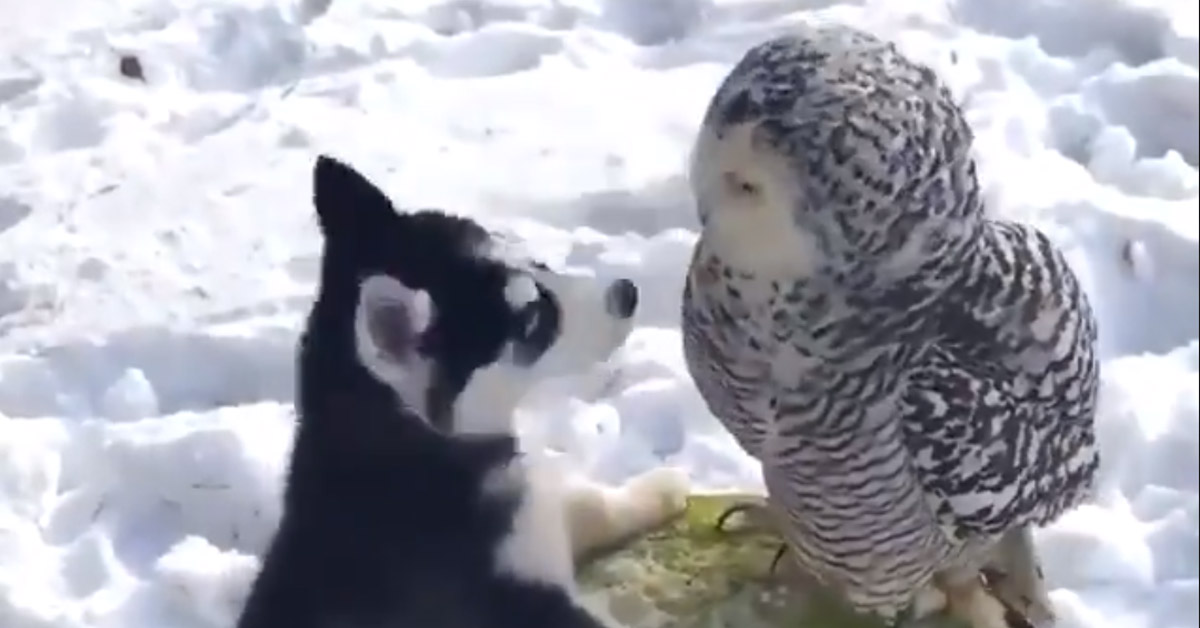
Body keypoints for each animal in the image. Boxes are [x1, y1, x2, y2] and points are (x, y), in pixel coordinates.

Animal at [234, 156, 691, 628]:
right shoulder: (514, 601)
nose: (626, 293)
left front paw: (658, 488)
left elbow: (587, 501)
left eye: (538, 263)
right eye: (534, 323)